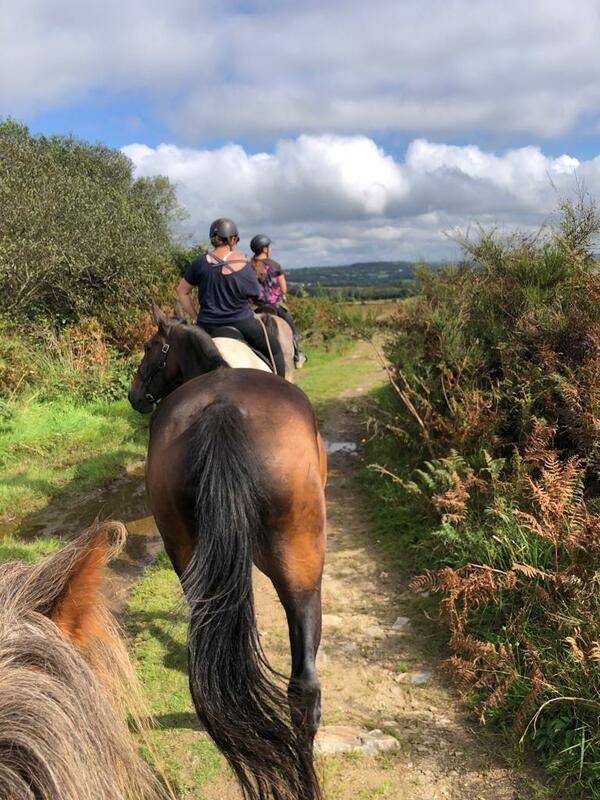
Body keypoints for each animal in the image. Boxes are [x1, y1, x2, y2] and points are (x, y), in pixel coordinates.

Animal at [128, 304, 327, 800]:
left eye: (150, 348)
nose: (134, 395)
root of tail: (222, 413)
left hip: (186, 554)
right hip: (303, 565)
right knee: (305, 686)